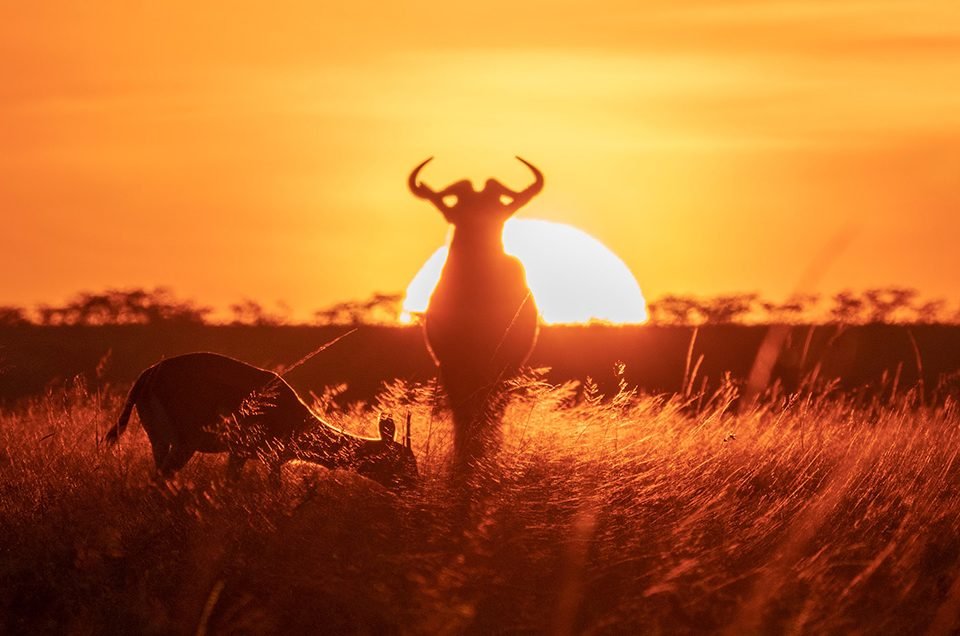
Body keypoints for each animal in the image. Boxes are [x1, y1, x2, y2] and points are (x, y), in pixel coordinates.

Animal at [106, 352, 418, 490]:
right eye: (404, 461)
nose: (415, 488)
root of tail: (150, 372)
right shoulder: (267, 457)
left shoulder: (240, 455)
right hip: (184, 444)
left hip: (160, 442)